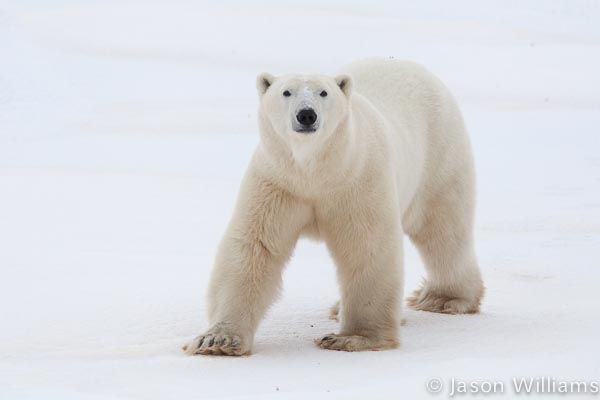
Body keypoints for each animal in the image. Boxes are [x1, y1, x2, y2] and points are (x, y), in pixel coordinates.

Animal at [182, 57, 482, 354]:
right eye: (286, 92)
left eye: (323, 92)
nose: (306, 115)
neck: (316, 172)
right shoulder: (278, 183)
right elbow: (255, 247)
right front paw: (217, 339)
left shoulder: (357, 180)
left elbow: (366, 246)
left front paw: (353, 338)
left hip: (439, 154)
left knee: (443, 231)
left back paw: (443, 298)